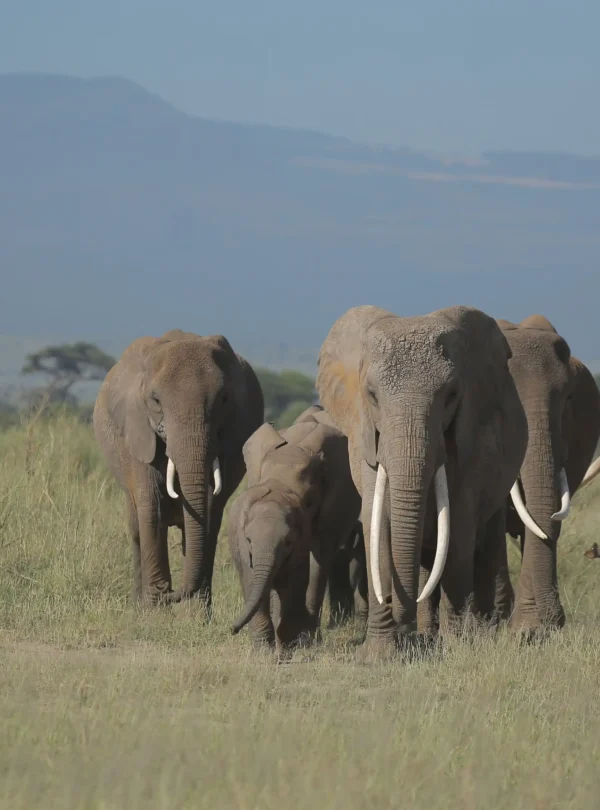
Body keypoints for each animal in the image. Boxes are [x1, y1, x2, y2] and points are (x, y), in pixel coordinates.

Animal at [93, 330, 263, 607]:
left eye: (224, 399)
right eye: (155, 400)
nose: (170, 593)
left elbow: (209, 513)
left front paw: (194, 612)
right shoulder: (137, 431)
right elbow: (150, 507)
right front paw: (154, 607)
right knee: (137, 529)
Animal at [227, 418, 361, 647]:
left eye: (309, 502)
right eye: (263, 482)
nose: (231, 630)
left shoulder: (331, 510)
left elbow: (318, 562)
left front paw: (305, 640)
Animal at [316, 305, 534, 656]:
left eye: (451, 395)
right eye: (372, 396)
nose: (405, 634)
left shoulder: (471, 440)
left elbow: (459, 527)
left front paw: (457, 645)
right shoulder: (365, 438)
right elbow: (378, 524)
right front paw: (380, 655)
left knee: (483, 540)